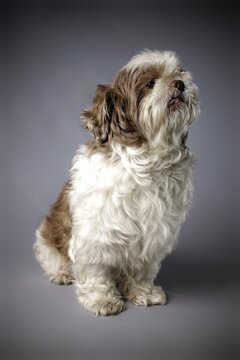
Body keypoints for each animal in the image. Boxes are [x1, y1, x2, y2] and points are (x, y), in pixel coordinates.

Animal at [33, 50, 199, 316]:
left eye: (179, 73)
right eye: (150, 84)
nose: (179, 84)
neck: (147, 162)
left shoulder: (153, 234)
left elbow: (142, 270)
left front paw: (143, 292)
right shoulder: (95, 234)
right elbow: (96, 270)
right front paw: (102, 299)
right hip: (47, 235)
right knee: (52, 258)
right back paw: (61, 273)